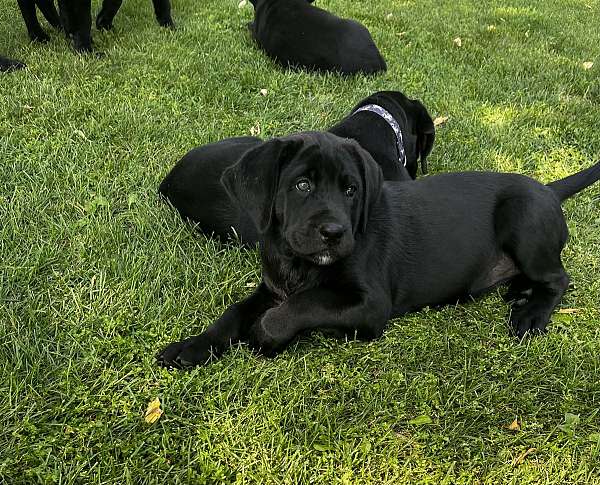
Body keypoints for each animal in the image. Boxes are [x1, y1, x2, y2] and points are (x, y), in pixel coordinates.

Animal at [158, 132, 600, 366]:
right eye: (302, 185)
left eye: (351, 190)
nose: (334, 232)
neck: (298, 263)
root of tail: (548, 189)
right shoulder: (271, 287)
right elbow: (234, 313)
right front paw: (191, 347)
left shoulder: (369, 305)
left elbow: (302, 305)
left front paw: (265, 334)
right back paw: (518, 291)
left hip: (522, 219)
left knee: (559, 277)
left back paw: (530, 312)